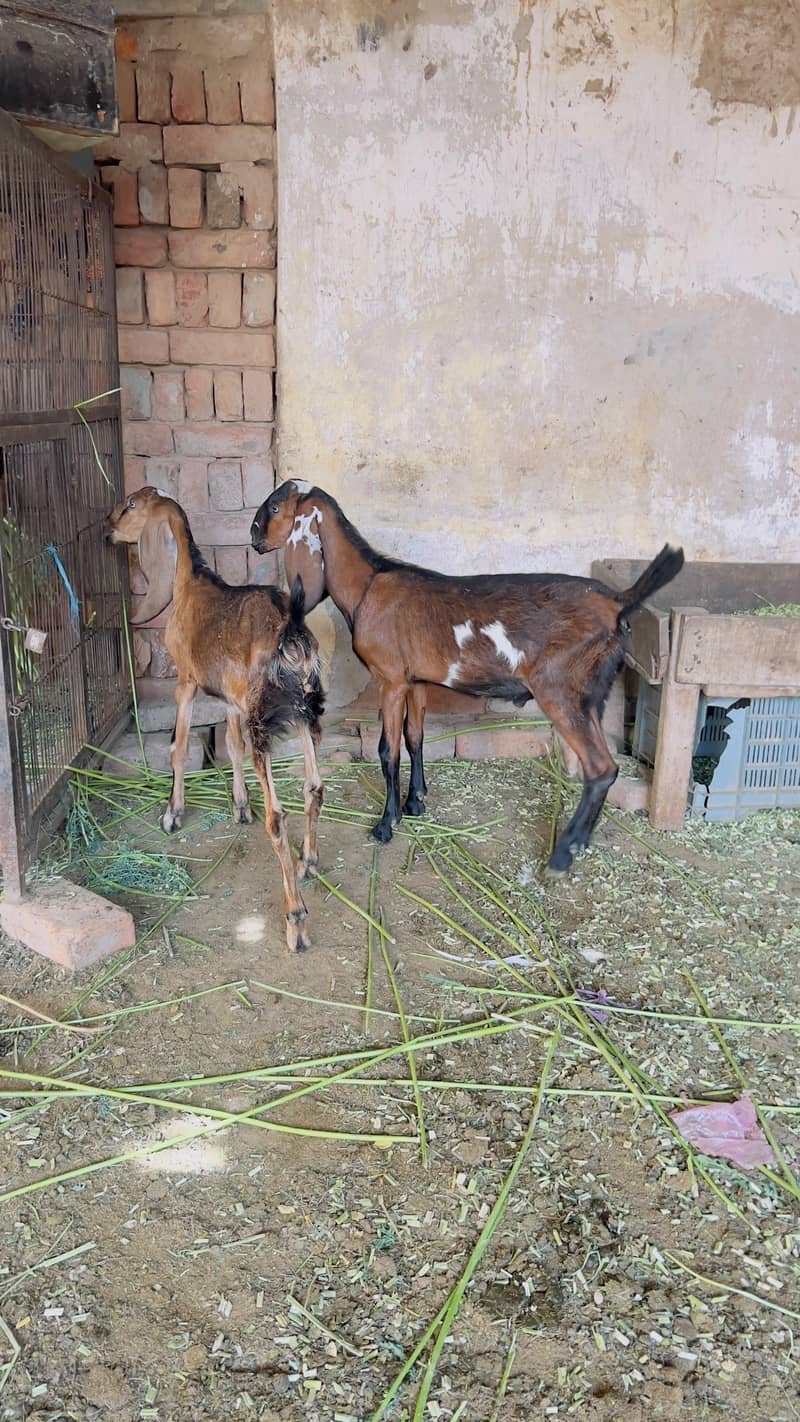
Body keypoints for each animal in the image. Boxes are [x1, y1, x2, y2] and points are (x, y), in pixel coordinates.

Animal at [108, 486, 324, 951]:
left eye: (131, 505)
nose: (108, 529)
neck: (189, 585)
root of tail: (292, 633)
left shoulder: (186, 682)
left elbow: (178, 747)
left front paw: (172, 813)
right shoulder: (231, 699)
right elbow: (230, 745)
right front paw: (239, 805)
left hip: (265, 718)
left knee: (277, 817)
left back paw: (295, 920)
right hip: (306, 712)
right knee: (314, 786)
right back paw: (309, 862)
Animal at [250, 481, 684, 874]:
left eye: (274, 506)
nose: (253, 537)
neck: (368, 585)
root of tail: (619, 602)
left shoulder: (390, 679)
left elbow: (388, 751)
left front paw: (386, 824)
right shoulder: (415, 682)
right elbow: (415, 738)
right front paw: (416, 802)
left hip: (561, 691)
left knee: (601, 768)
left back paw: (562, 856)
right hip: (591, 695)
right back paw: (580, 843)